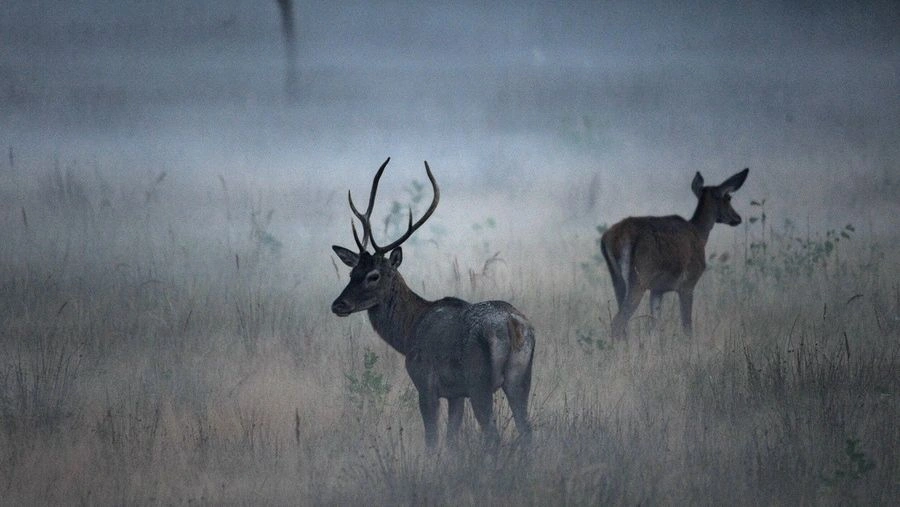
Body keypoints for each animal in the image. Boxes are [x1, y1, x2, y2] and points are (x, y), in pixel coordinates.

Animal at [330, 159, 536, 448]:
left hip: (480, 381)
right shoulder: (455, 393)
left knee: (493, 435)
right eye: (352, 272)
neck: (408, 333)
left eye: (374, 275)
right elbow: (450, 439)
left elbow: (432, 440)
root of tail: (511, 324)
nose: (339, 305)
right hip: (521, 378)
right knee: (527, 432)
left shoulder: (426, 382)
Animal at [600, 168, 748, 342]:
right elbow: (687, 326)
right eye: (728, 197)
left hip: (617, 280)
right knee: (618, 322)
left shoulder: (657, 289)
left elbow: (654, 326)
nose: (737, 218)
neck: (699, 234)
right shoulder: (688, 283)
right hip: (640, 276)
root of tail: (613, 237)